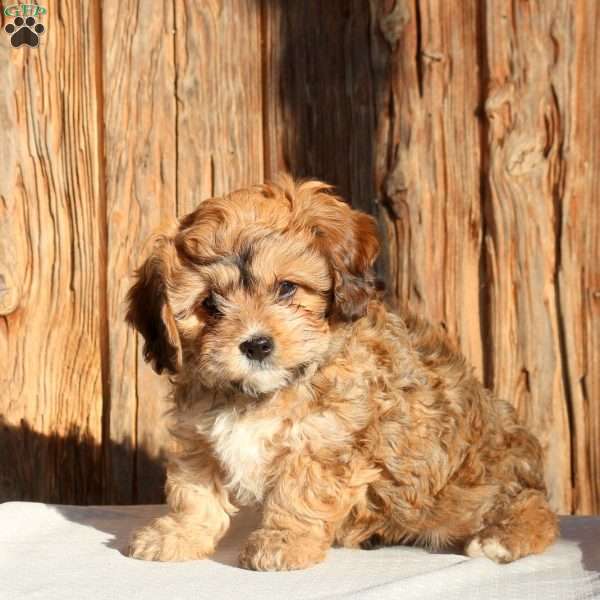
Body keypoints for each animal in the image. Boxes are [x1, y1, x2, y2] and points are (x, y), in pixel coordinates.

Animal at [125, 175, 556, 572]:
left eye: (286, 288)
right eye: (210, 304)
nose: (257, 345)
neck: (261, 393)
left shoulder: (324, 441)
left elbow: (300, 492)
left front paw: (284, 543)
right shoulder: (200, 437)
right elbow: (194, 491)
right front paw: (177, 535)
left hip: (481, 485)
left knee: (536, 510)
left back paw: (501, 539)